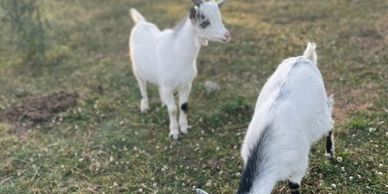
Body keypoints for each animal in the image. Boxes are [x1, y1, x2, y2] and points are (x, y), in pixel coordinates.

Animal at [129, 0, 230, 139]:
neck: (177, 52)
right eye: (204, 22)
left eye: (219, 17)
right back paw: (144, 107)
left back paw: (163, 102)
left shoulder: (186, 84)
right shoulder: (168, 86)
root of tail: (141, 22)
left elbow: (183, 106)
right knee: (142, 86)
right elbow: (172, 110)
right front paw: (174, 133)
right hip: (136, 69)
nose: (227, 35)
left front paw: (184, 128)